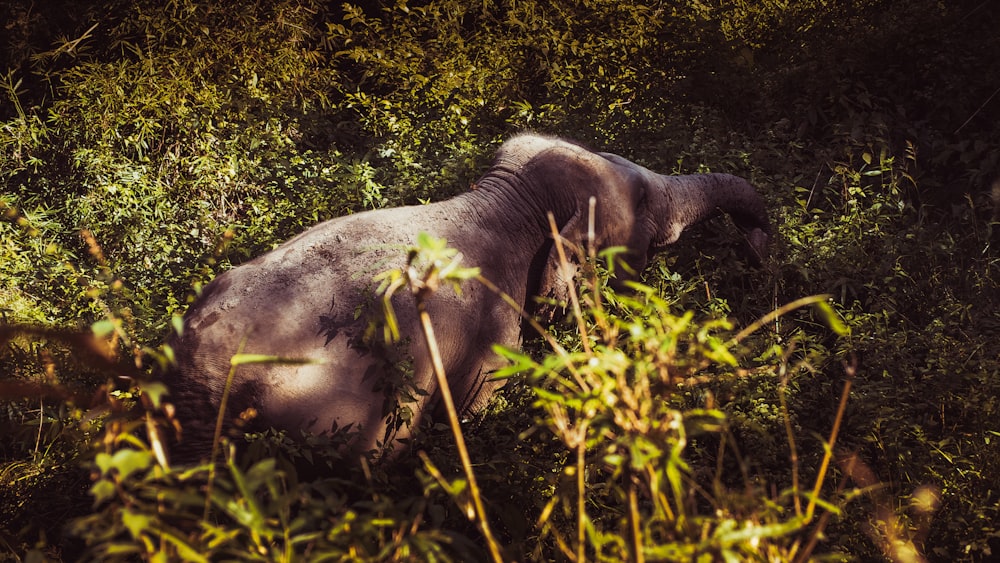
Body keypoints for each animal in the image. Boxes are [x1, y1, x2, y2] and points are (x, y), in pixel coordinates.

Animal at [162, 134, 772, 464]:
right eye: (642, 199)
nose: (761, 258)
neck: (500, 200)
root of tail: (202, 376)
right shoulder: (491, 335)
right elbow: (479, 404)